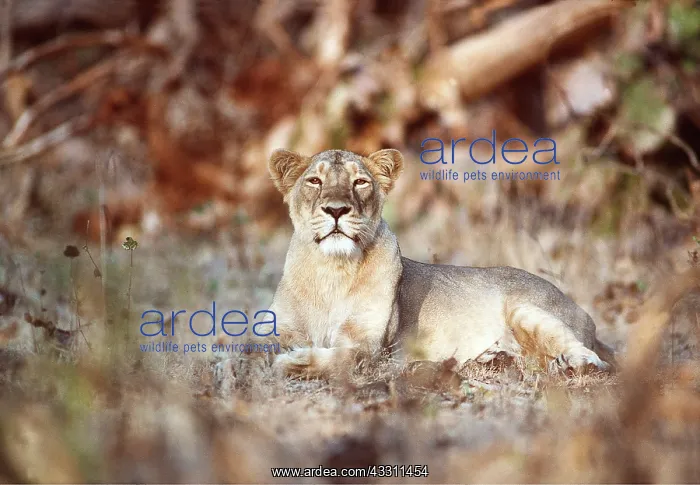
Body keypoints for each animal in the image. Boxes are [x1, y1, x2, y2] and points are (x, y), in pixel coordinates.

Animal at [243, 148, 615, 379]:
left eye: (360, 181)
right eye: (314, 181)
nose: (336, 210)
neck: (331, 271)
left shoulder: (370, 347)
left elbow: (338, 359)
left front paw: (294, 361)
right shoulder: (276, 329)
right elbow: (251, 351)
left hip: (527, 309)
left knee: (591, 358)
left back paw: (573, 364)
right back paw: (496, 358)